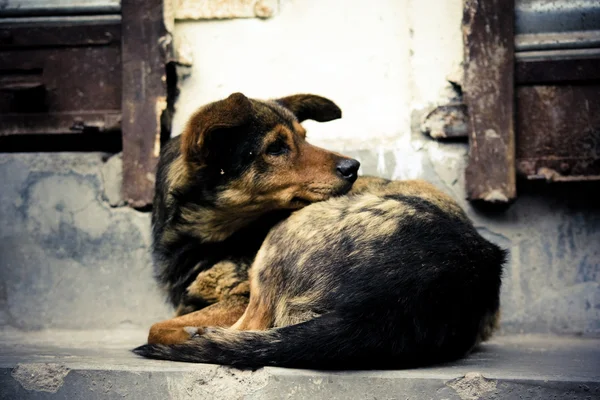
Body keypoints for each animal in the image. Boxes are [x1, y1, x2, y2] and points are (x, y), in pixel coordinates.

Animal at [132, 93, 506, 368]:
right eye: (276, 148)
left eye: (304, 137)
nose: (353, 167)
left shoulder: (239, 296)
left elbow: (156, 328)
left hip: (283, 236)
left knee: (248, 328)